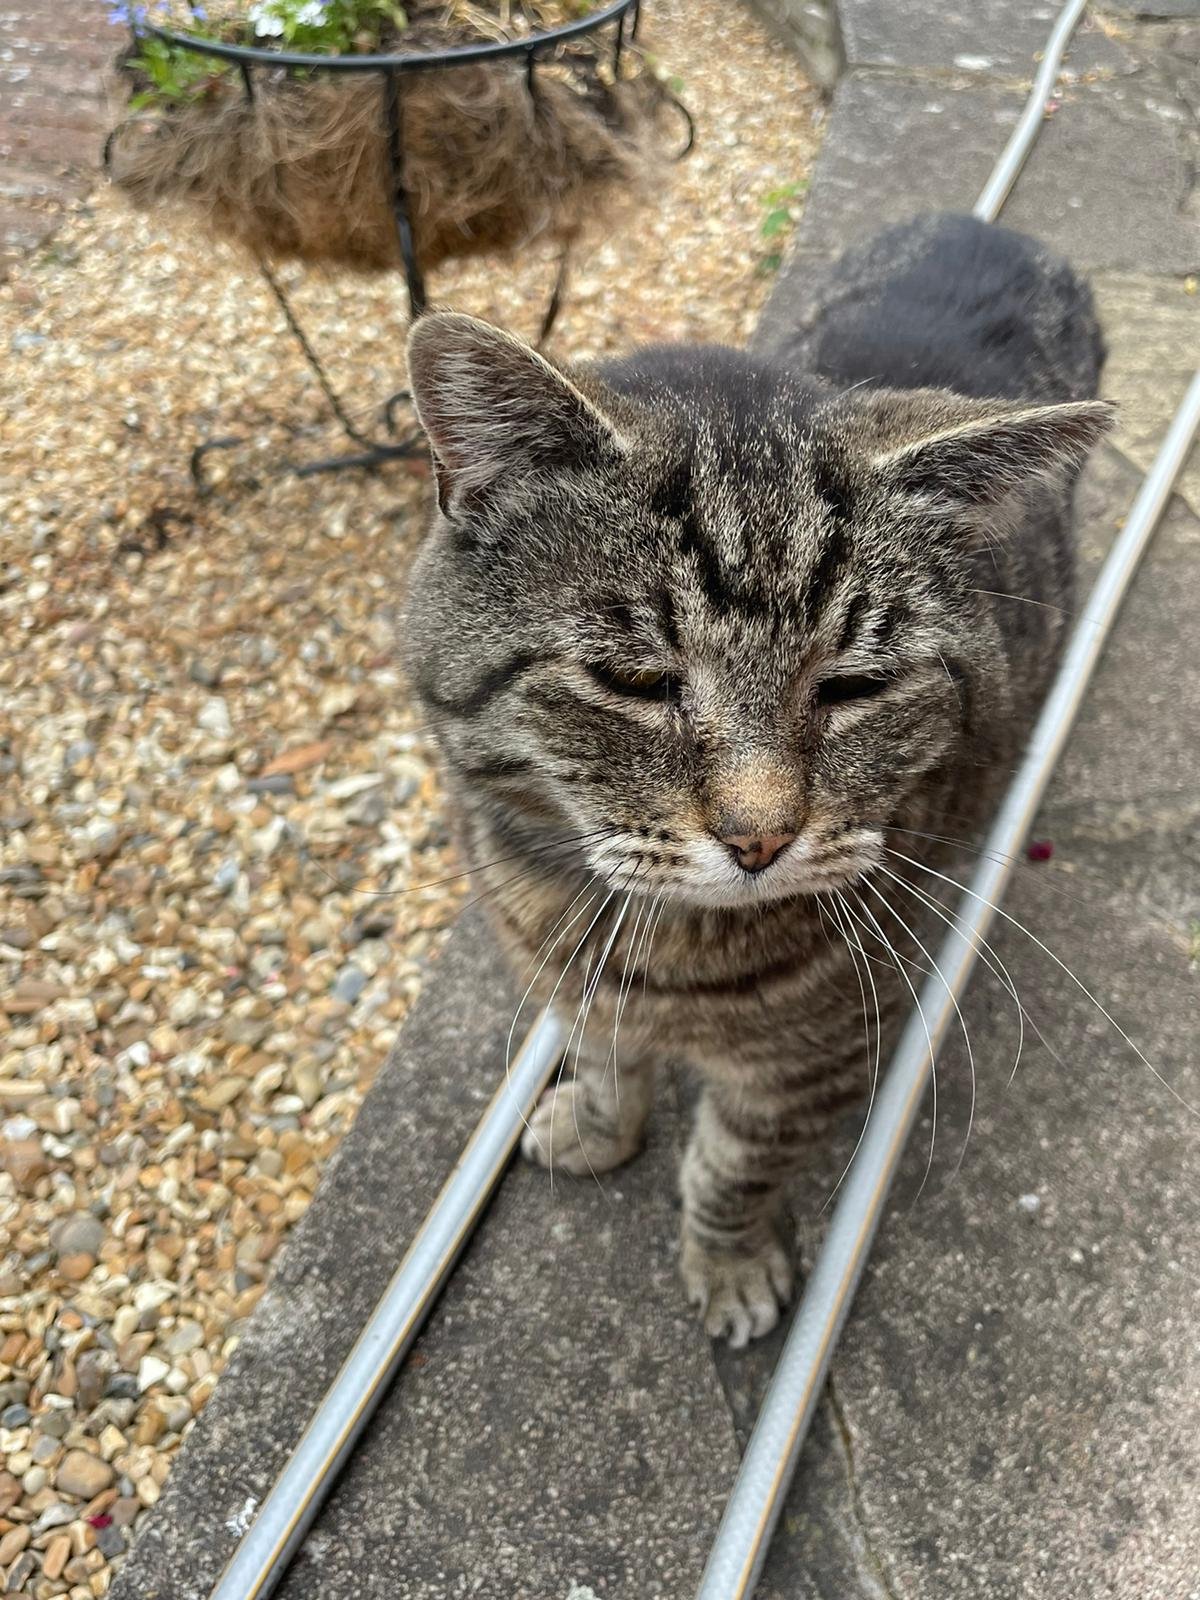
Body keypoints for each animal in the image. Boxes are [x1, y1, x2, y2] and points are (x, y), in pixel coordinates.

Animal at [401, 209, 1107, 1337]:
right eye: (634, 678)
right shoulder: (568, 983)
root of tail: (984, 226)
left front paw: (728, 1263)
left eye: (856, 685)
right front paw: (598, 1127)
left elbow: (731, 1171)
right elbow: (609, 1066)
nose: (759, 836)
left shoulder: (813, 1058)